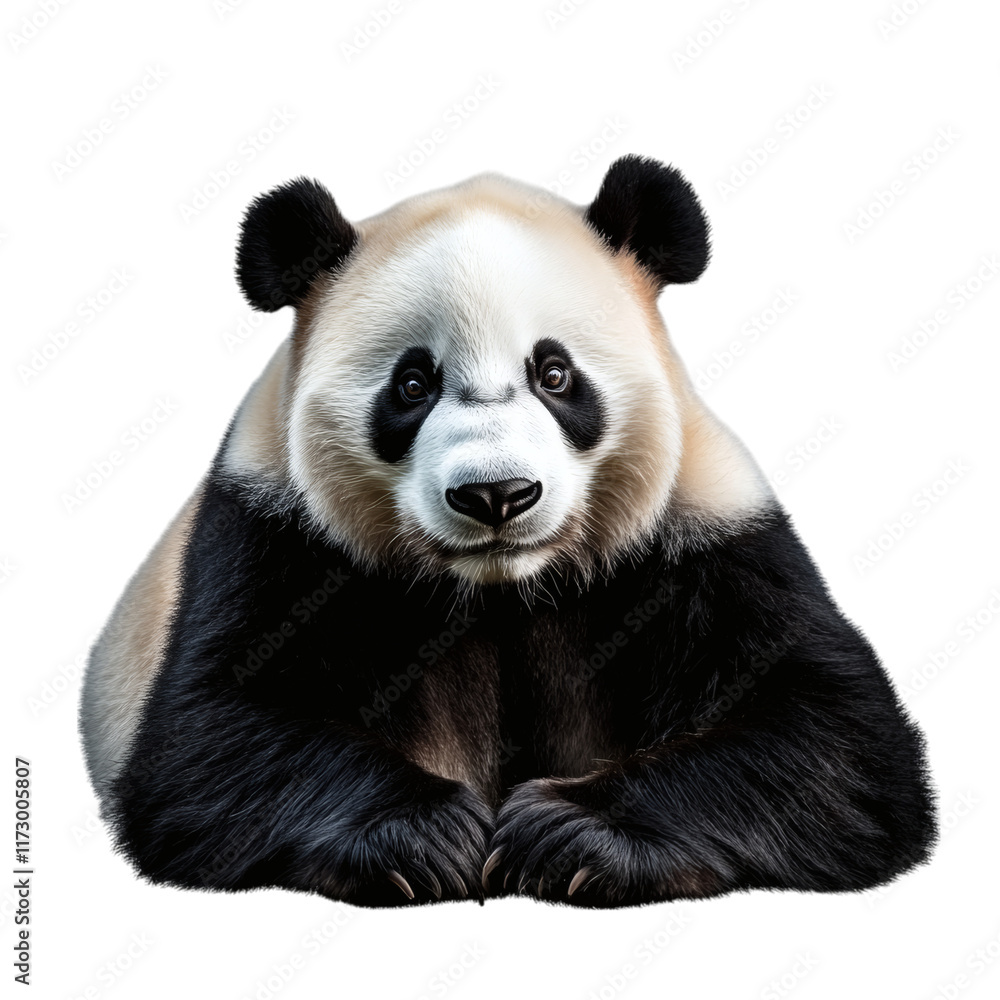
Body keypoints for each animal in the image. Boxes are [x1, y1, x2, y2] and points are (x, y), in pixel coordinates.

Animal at [80, 155, 936, 908]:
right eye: (413, 384)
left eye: (554, 374)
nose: (496, 495)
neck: (500, 587)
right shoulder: (275, 530)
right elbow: (212, 737)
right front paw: (426, 836)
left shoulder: (706, 529)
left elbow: (828, 735)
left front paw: (566, 836)